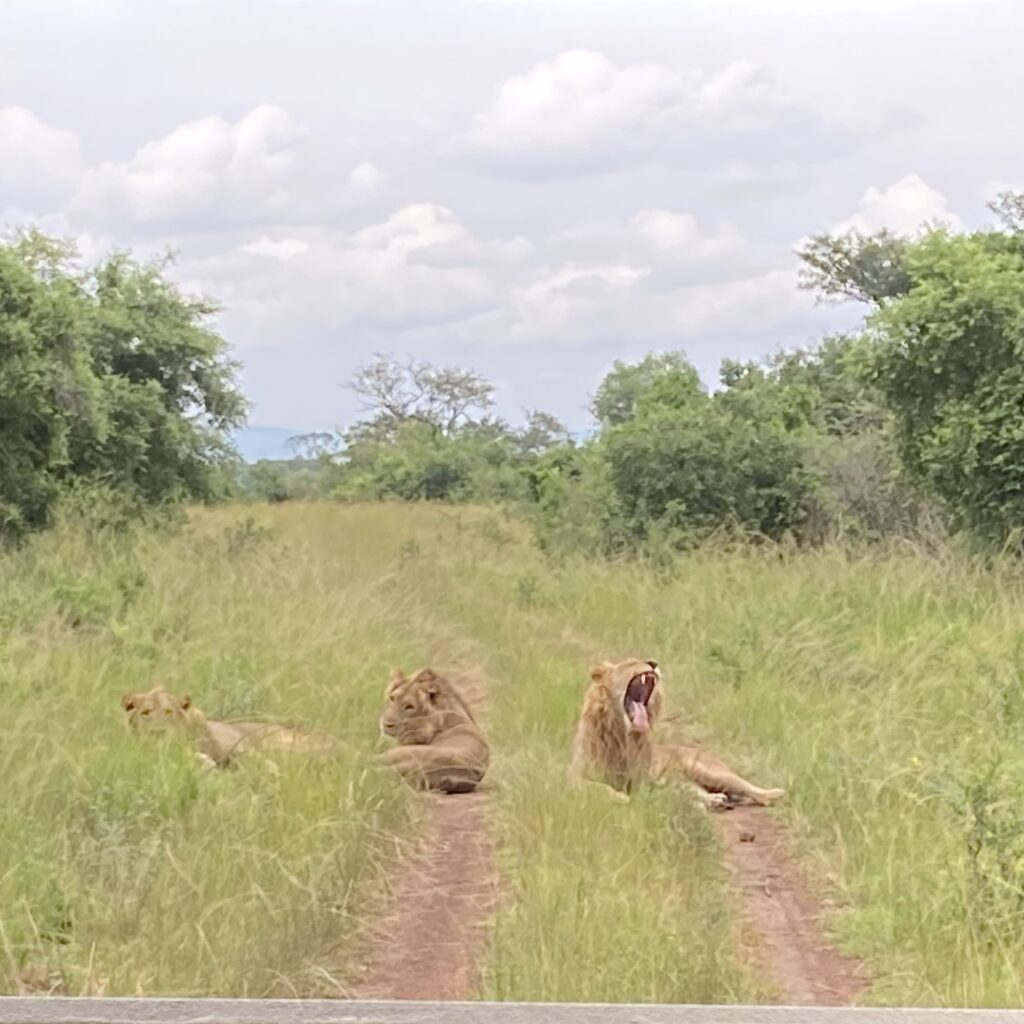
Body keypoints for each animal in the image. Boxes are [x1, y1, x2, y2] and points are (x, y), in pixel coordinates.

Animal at [569, 659, 782, 811]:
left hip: (709, 770)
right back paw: (714, 800)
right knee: (693, 790)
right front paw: (618, 796)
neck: (623, 736)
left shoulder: (644, 780)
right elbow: (596, 786)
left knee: (752, 790)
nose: (653, 662)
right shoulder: (572, 776)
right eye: (630, 662)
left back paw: (775, 794)